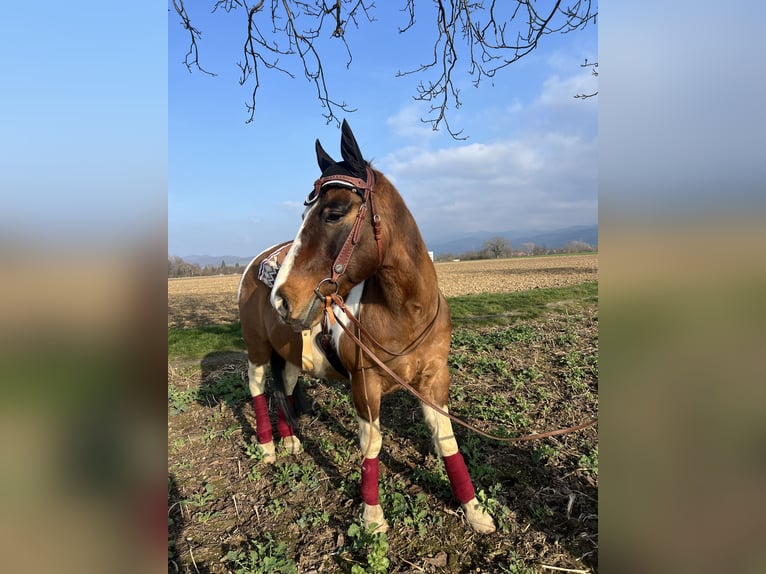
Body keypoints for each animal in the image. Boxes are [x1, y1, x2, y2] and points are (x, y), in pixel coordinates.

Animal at [236, 120, 498, 536]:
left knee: (286, 386)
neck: (406, 312)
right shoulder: (365, 384)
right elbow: (371, 444)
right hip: (258, 348)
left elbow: (446, 440)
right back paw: (267, 447)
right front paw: (372, 516)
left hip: (290, 355)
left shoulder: (434, 379)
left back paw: (291, 441)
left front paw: (473, 511)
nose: (282, 299)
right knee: (259, 386)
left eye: (333, 213)